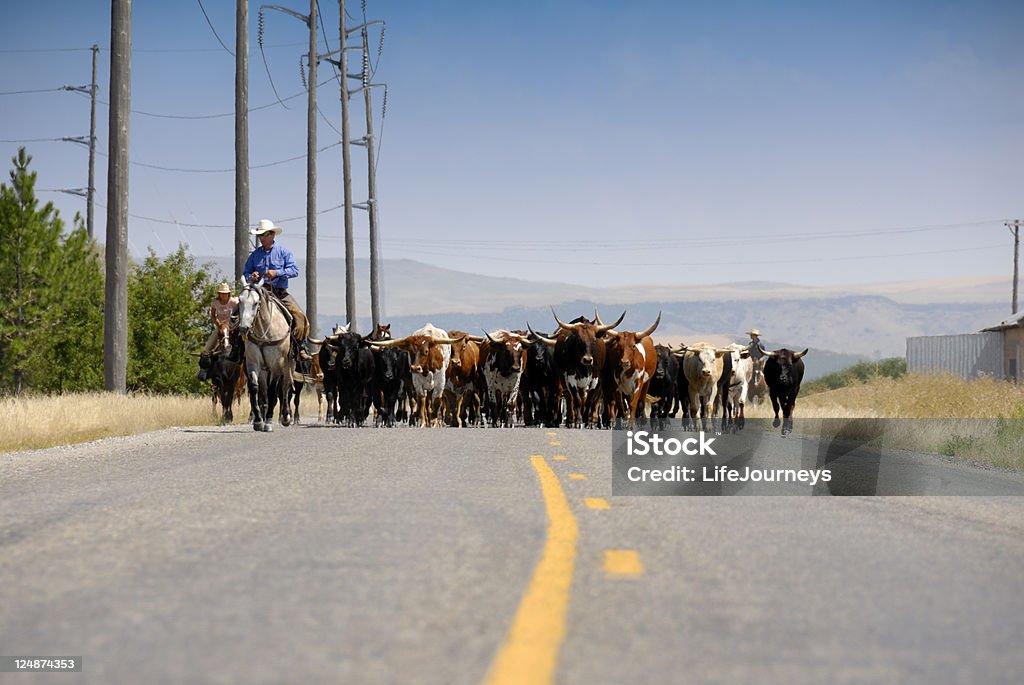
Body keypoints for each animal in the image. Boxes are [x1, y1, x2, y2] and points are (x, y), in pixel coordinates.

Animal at [234, 278, 294, 430]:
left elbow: (274, 391)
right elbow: (255, 388)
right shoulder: (253, 363)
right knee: (264, 390)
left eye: (256, 303)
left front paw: (268, 421)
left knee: (284, 387)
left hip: (288, 365)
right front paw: (258, 420)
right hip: (264, 370)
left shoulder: (276, 365)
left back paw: (286, 417)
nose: (243, 328)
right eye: (240, 301)